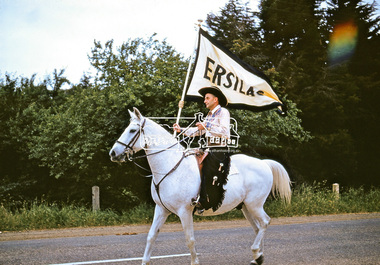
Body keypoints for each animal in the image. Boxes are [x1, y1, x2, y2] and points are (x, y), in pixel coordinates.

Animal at [109, 107, 290, 264]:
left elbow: (190, 239)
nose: (113, 153)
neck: (170, 167)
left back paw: (256, 252)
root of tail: (264, 163)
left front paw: (195, 261)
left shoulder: (184, 211)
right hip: (246, 206)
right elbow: (151, 236)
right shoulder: (161, 209)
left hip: (255, 204)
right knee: (257, 228)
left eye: (132, 130)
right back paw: (258, 256)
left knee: (265, 222)